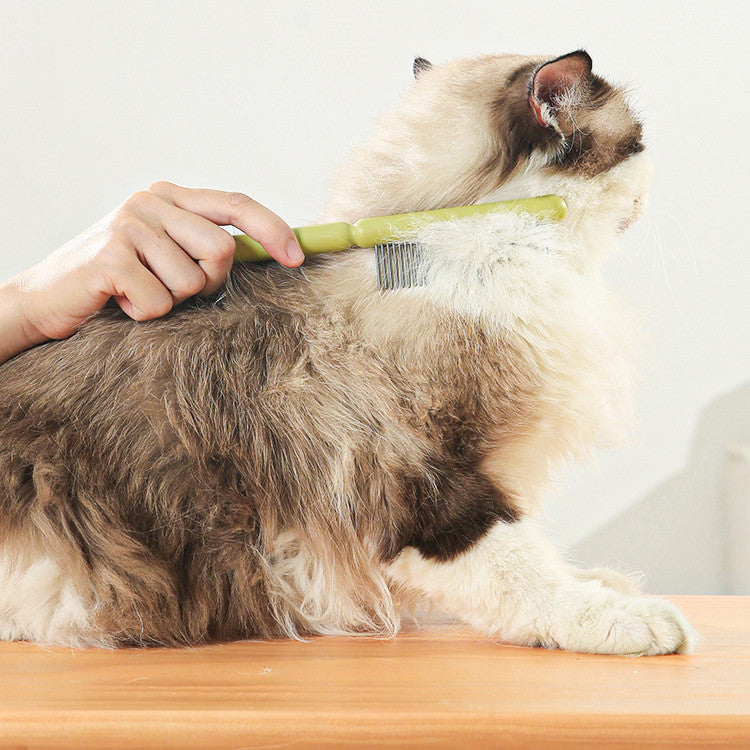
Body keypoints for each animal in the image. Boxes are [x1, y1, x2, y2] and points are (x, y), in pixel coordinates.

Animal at [0, 50, 700, 656]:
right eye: (638, 145)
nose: (649, 189)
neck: (473, 245)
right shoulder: (421, 478)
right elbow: (518, 568)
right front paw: (625, 619)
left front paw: (605, 584)